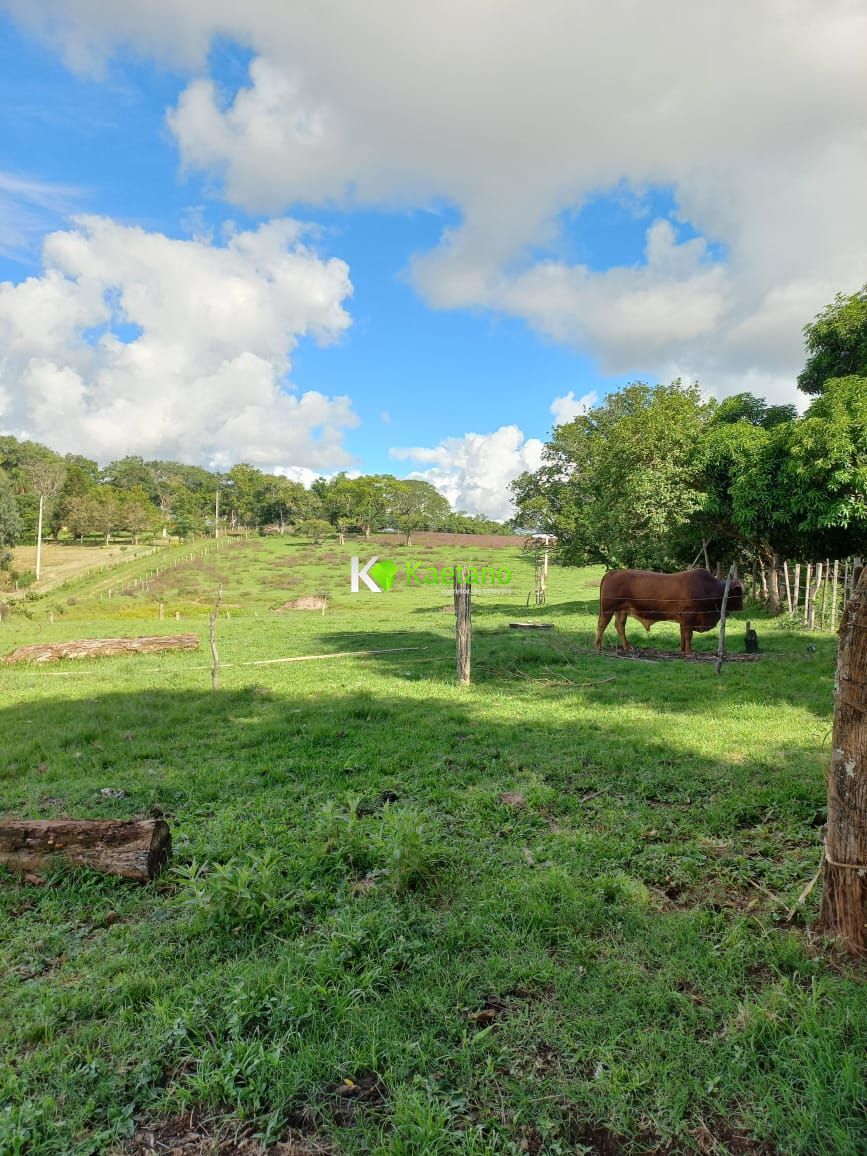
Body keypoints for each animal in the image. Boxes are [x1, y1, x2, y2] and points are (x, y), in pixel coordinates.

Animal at [596, 566, 749, 656]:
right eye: (738, 593)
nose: (742, 607)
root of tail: (613, 572)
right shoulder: (689, 616)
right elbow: (688, 635)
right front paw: (689, 652)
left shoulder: (683, 619)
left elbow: (682, 634)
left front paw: (682, 651)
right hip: (608, 609)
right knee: (602, 625)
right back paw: (598, 647)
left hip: (621, 610)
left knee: (620, 627)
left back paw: (627, 648)